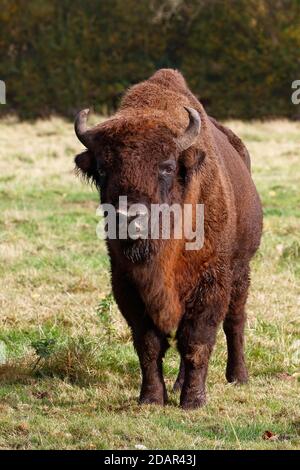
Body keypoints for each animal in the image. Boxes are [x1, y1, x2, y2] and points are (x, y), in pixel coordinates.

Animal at [74, 68, 262, 410]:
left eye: (167, 166)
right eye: (103, 169)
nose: (127, 217)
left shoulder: (211, 283)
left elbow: (198, 341)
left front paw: (194, 402)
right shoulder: (127, 285)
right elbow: (149, 344)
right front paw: (151, 399)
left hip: (242, 270)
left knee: (235, 320)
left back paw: (237, 376)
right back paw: (177, 386)